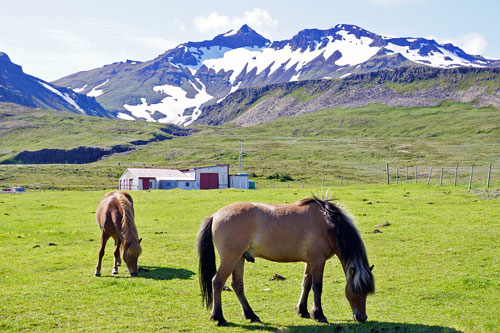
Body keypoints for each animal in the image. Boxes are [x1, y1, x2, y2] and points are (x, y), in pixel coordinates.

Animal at [197, 196, 374, 326]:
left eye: (367, 291)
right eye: (356, 290)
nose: (362, 317)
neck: (327, 223)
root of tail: (215, 215)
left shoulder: (310, 261)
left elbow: (306, 284)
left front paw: (303, 311)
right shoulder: (318, 260)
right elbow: (317, 287)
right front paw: (319, 314)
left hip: (239, 258)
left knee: (237, 285)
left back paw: (251, 315)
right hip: (230, 258)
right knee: (217, 282)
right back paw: (219, 317)